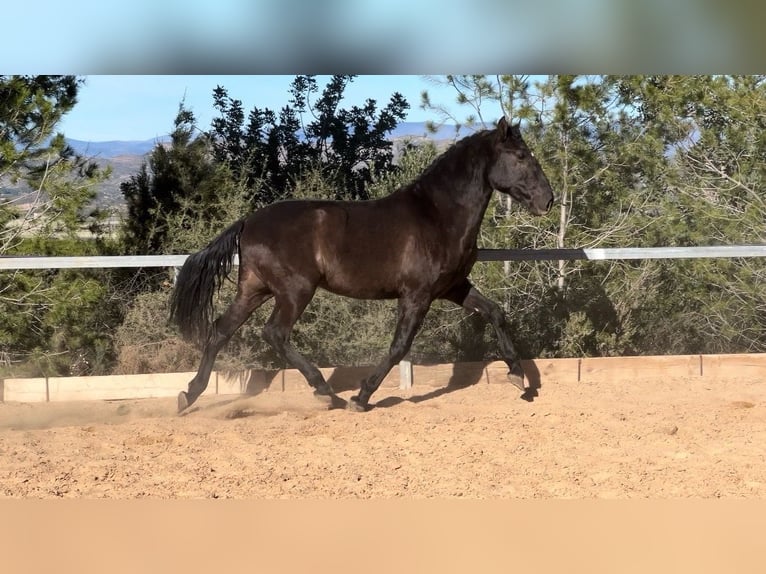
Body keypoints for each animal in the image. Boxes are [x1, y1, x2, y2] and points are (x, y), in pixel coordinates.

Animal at [171, 117, 556, 414]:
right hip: (295, 291)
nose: (547, 200)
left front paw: (519, 378)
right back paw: (326, 393)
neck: (438, 215)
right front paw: (362, 396)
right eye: (520, 156)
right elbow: (399, 346)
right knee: (274, 333)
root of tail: (248, 221)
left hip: (255, 288)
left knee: (220, 330)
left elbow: (495, 313)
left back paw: (188, 395)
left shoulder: (453, 287)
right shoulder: (417, 295)